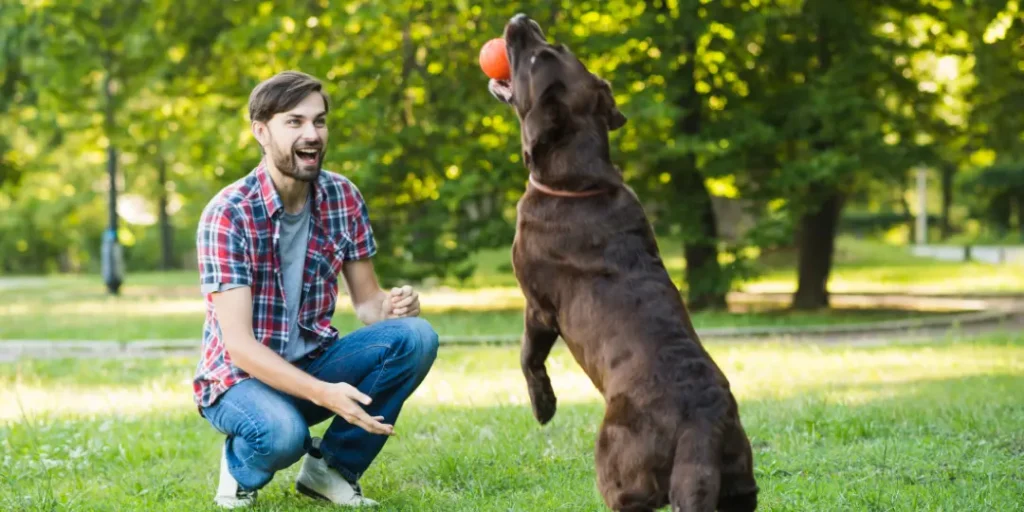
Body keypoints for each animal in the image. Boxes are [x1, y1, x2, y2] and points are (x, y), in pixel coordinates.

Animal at [487, 14, 761, 509]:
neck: (579, 182)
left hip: (617, 468)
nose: (521, 19)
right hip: (739, 482)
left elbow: (528, 357)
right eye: (555, 46)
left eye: (537, 56)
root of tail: (703, 423)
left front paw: (544, 406)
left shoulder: (539, 306)